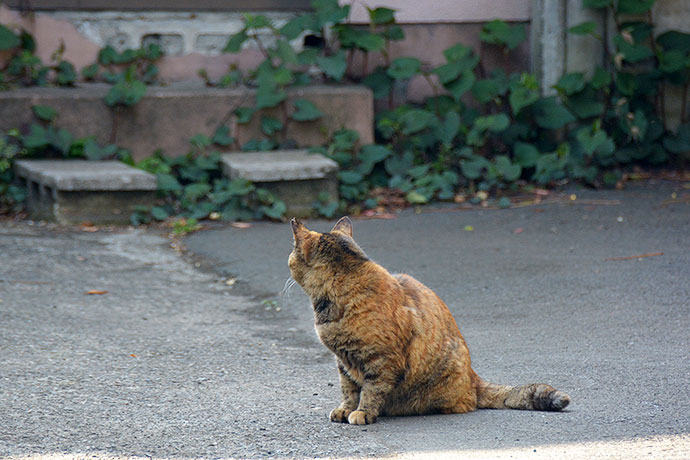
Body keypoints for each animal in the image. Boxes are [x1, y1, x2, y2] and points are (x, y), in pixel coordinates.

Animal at [286, 216, 568, 424]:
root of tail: (474, 377)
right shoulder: (343, 361)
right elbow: (348, 389)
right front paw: (345, 409)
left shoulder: (382, 360)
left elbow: (371, 389)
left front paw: (363, 412)